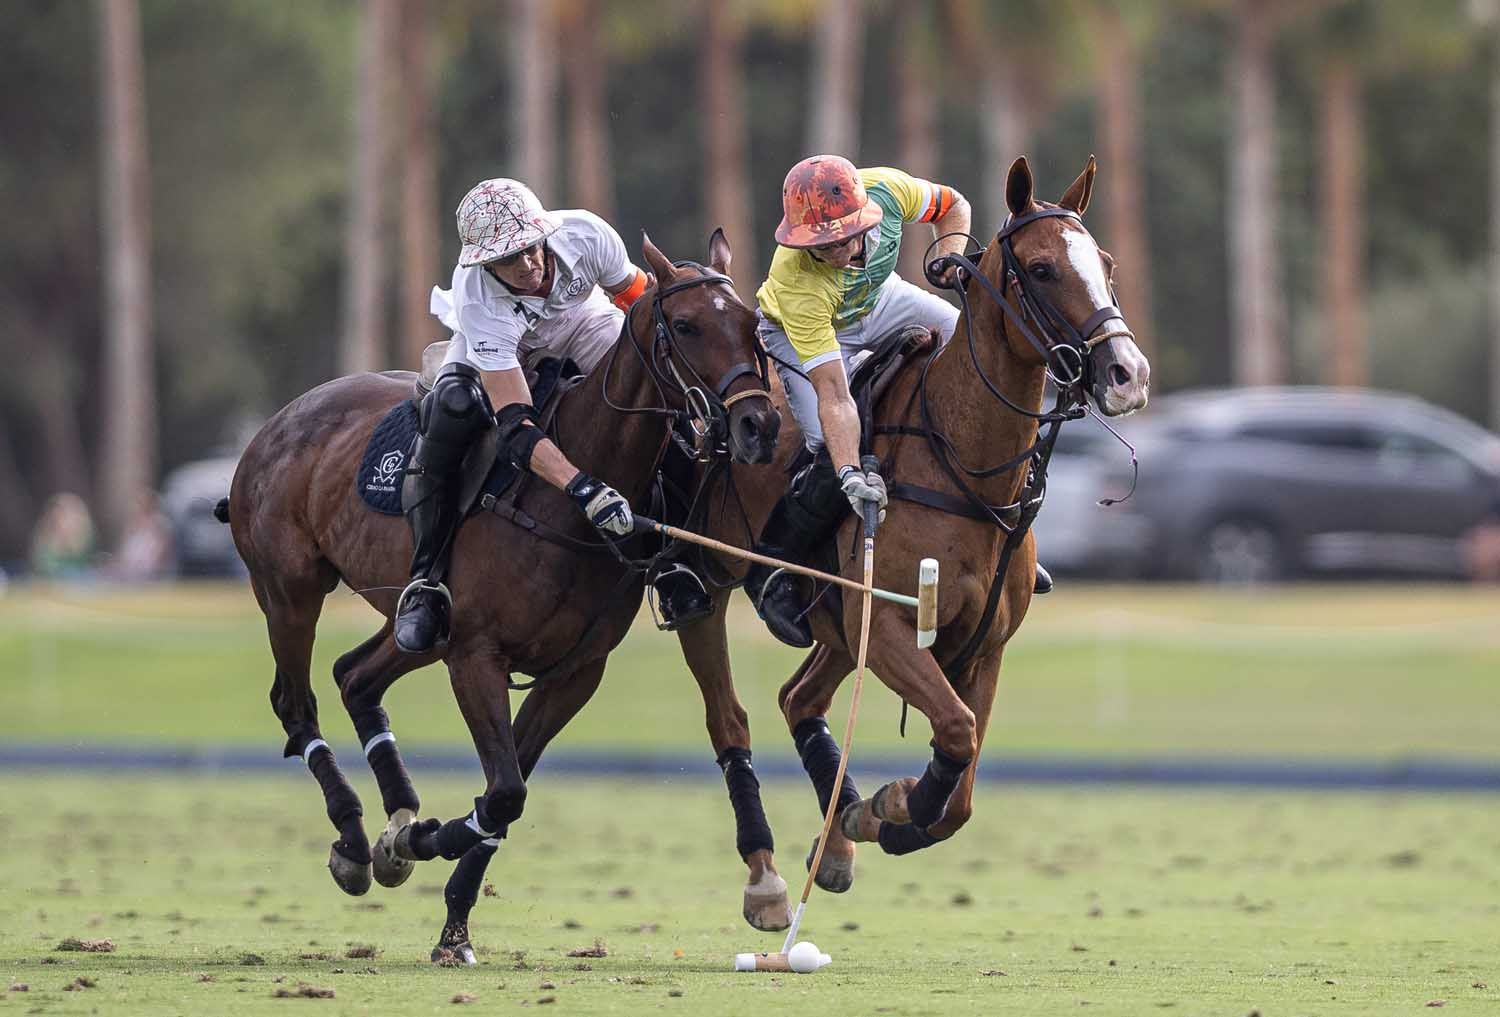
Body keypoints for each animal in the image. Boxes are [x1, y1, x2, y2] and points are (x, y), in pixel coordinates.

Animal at [229, 231, 786, 954]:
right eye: (687, 326)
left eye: (751, 324)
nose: (758, 427)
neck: (565, 498)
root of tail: (274, 424)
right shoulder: (476, 655)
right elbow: (504, 792)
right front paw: (414, 843)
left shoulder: (573, 672)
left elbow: (507, 790)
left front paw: (446, 907)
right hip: (289, 589)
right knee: (295, 703)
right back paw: (353, 838)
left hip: (417, 626)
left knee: (356, 674)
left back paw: (392, 815)